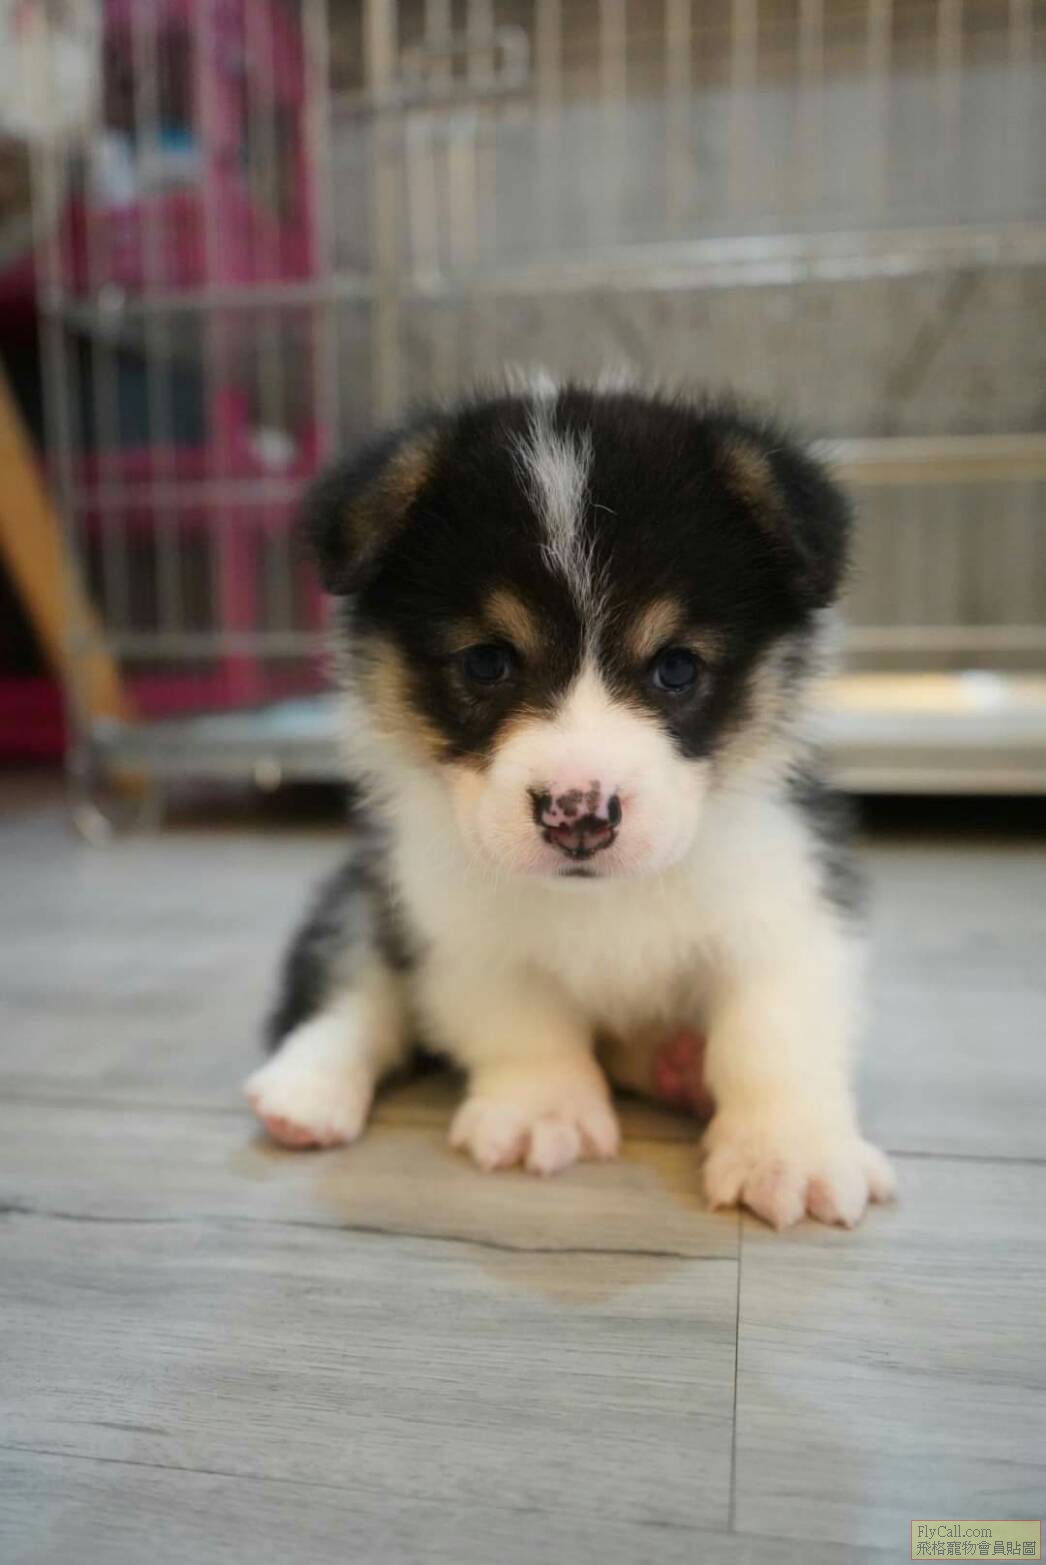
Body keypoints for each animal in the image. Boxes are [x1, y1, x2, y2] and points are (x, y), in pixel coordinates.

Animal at [245, 380, 895, 1230]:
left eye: (677, 668)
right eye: (487, 662)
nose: (579, 814)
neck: (603, 903)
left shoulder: (787, 899)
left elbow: (773, 1032)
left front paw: (789, 1152)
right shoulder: (456, 924)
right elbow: (523, 1020)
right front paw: (540, 1110)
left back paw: (678, 1065)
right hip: (365, 891)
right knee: (352, 988)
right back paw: (305, 1093)